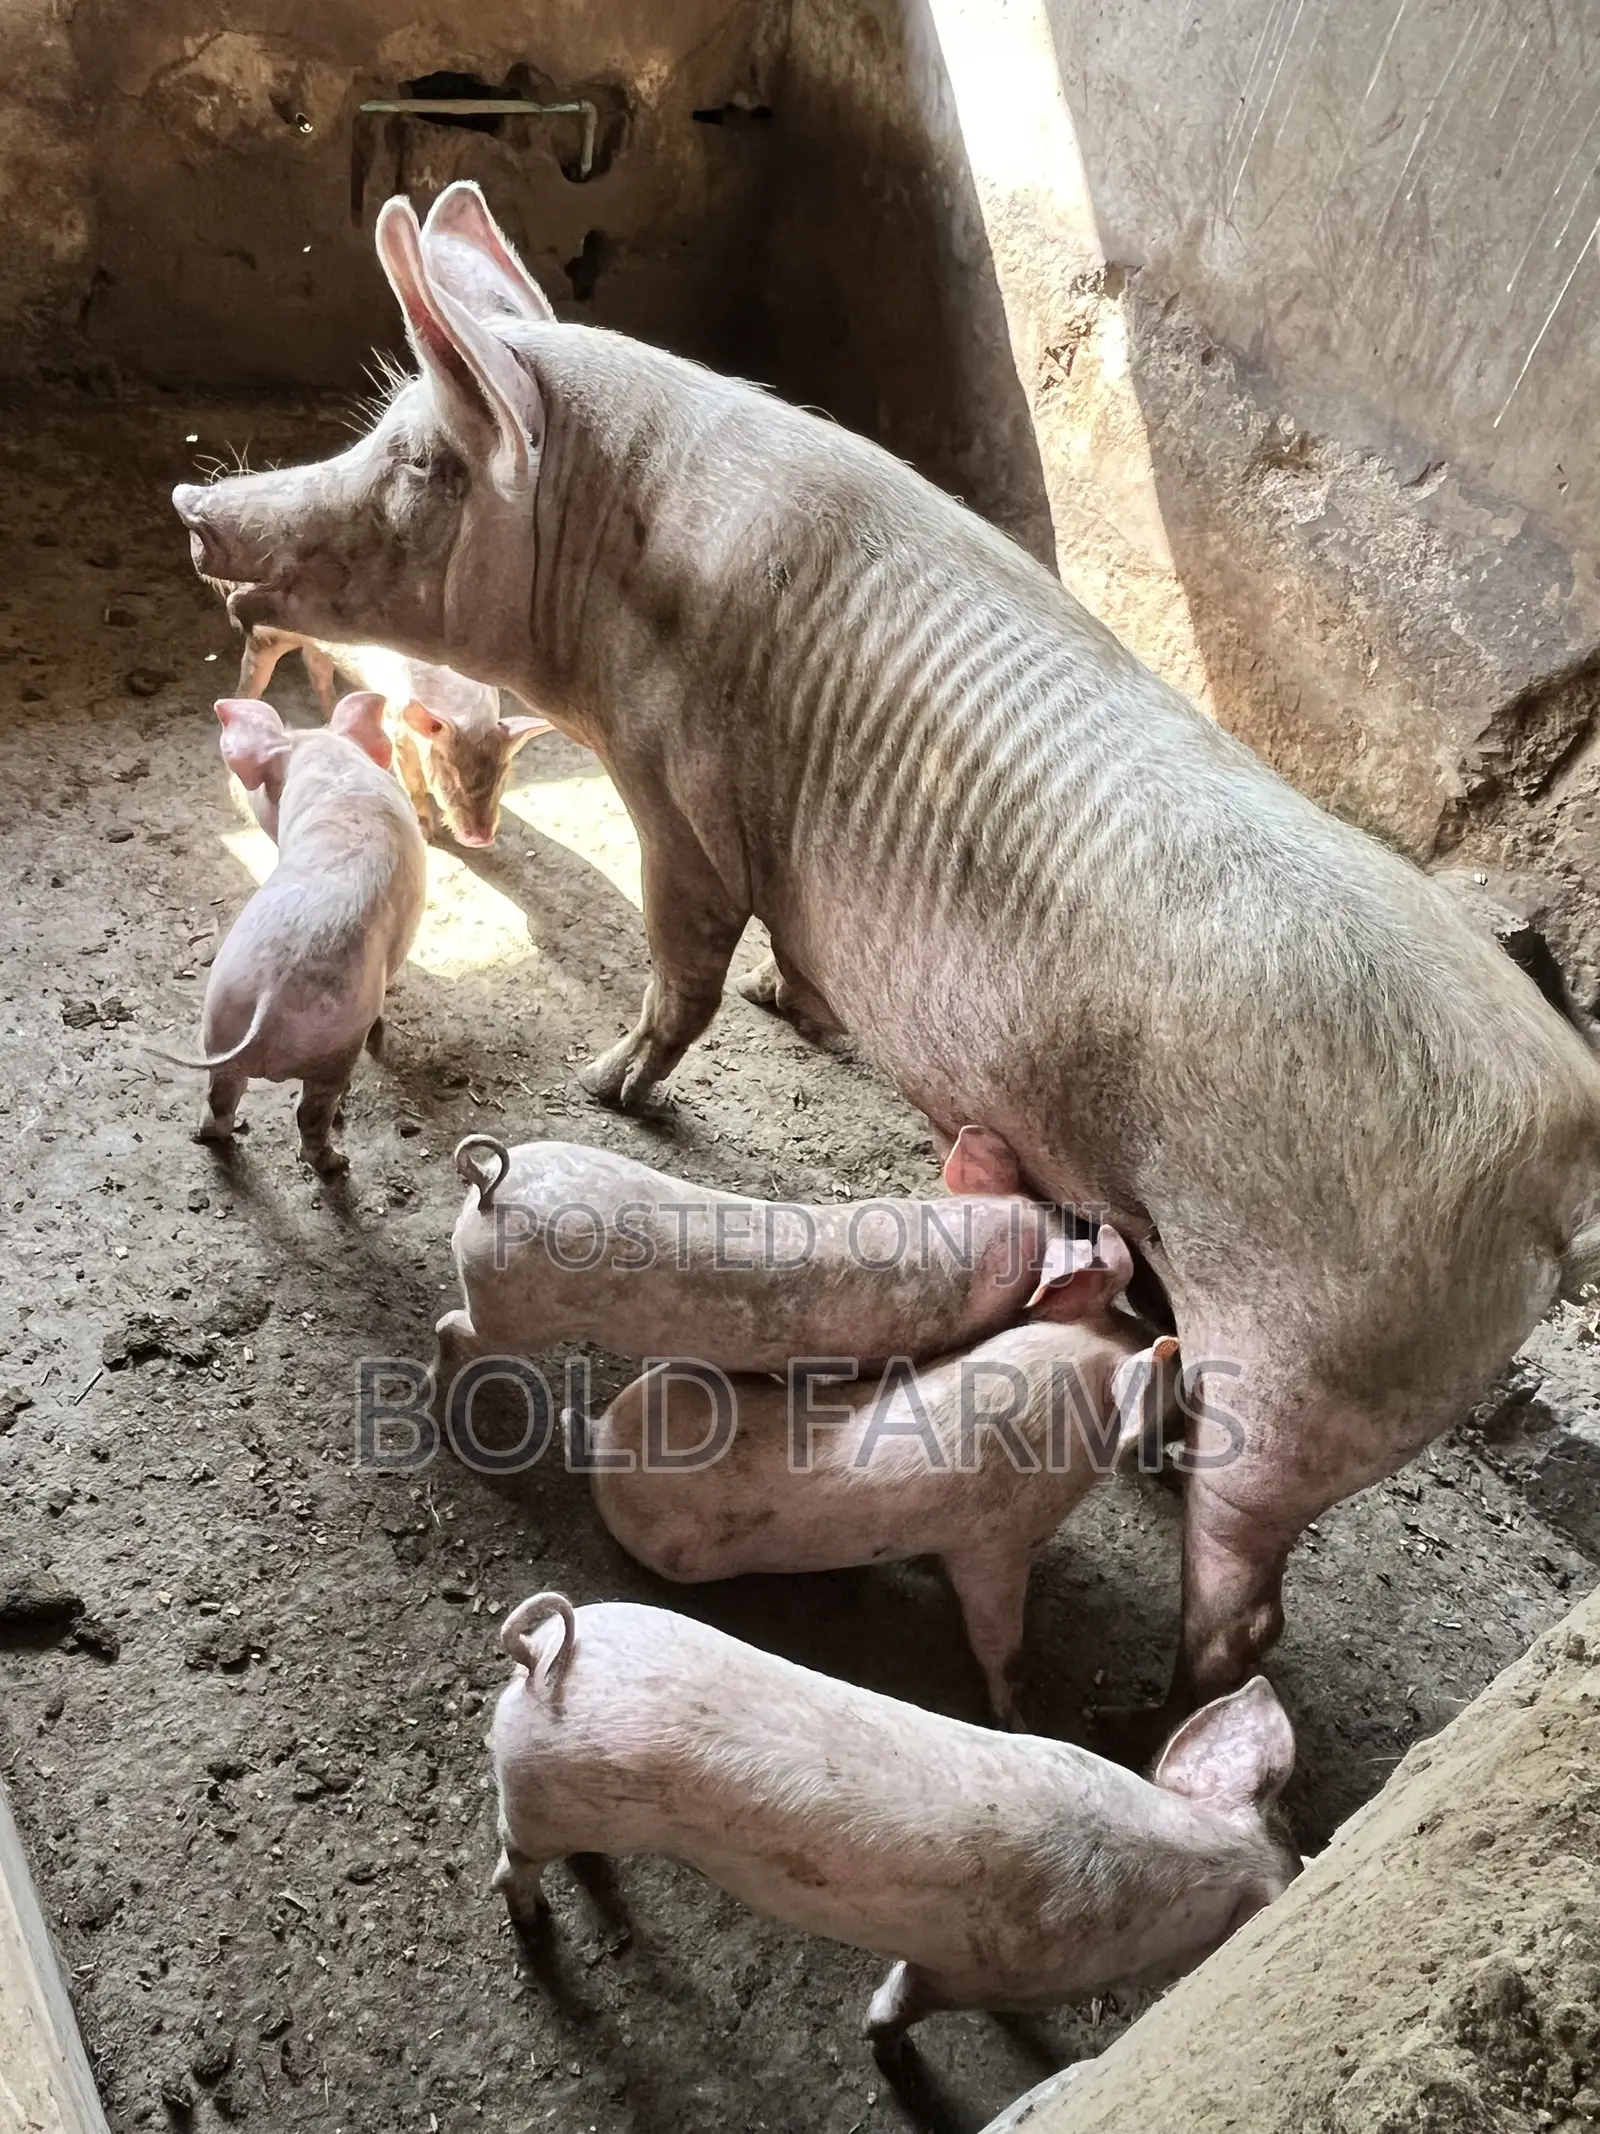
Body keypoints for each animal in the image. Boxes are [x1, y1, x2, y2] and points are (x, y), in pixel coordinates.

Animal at [140, 693, 426, 1174]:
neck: (331, 765)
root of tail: (271, 991)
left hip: (221, 1014)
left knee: (221, 1097)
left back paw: (210, 1135)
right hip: (335, 1043)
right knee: (311, 1114)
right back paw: (338, 1163)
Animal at [238, 625, 550, 846]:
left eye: (503, 774)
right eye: (449, 774)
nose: (481, 839)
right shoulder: (396, 726)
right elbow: (410, 781)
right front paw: (428, 836)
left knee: (317, 669)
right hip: (265, 636)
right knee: (251, 679)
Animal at [489, 1594, 1300, 2047]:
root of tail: (546, 1658)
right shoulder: (970, 1972)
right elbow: (908, 2000)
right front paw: (877, 2035)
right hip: (538, 1800)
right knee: (511, 1865)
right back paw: (532, 1919)